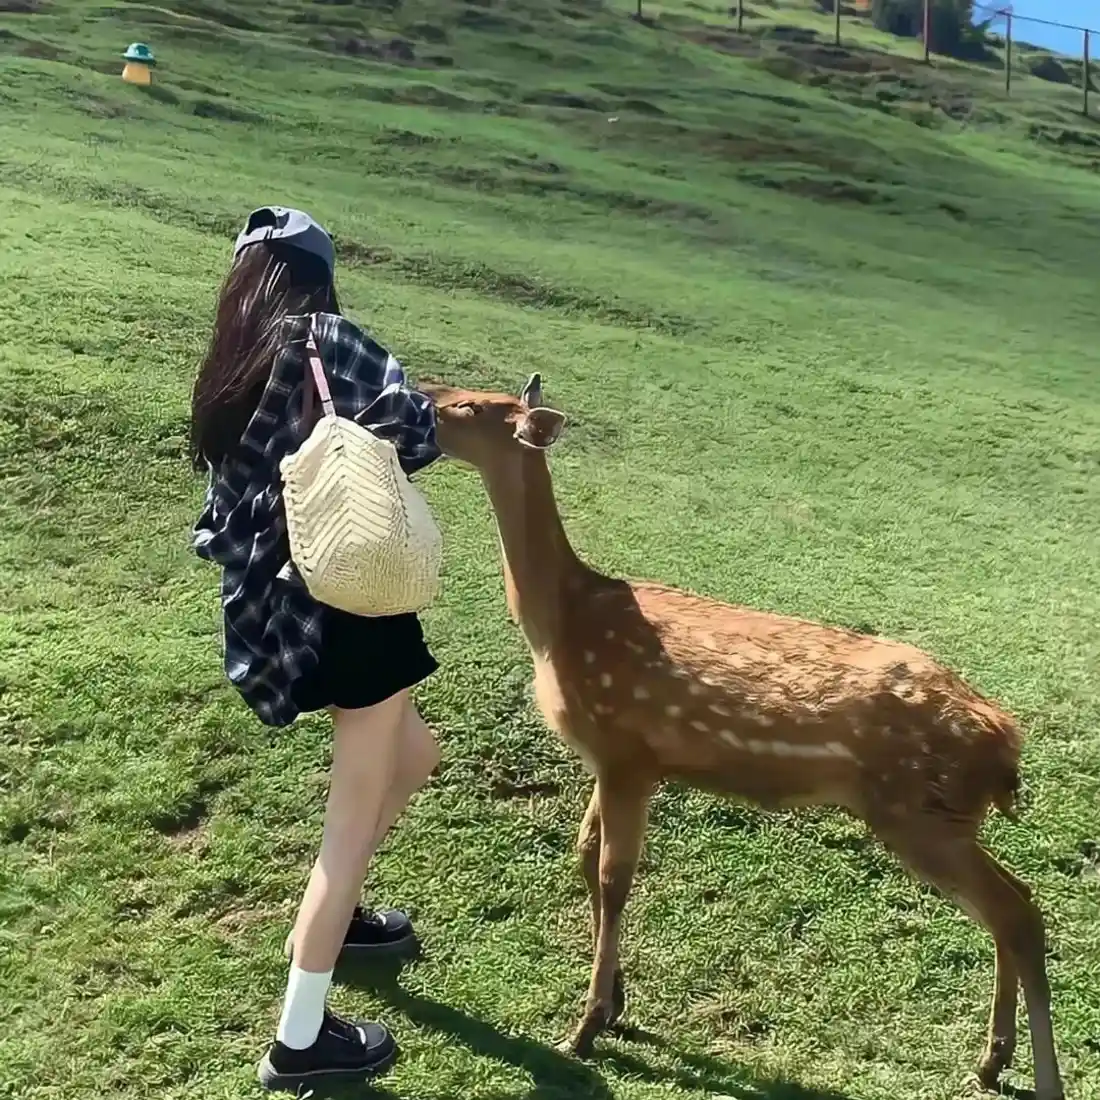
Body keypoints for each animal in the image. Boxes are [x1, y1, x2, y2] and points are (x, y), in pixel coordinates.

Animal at [418, 373, 1065, 1100]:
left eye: (471, 407)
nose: (419, 397)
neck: (559, 626)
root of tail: (1005, 742)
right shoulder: (613, 759)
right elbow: (585, 858)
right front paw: (615, 1004)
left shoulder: (626, 753)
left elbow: (614, 876)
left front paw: (585, 1028)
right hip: (937, 814)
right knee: (1012, 905)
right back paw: (992, 1060)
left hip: (916, 811)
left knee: (1015, 909)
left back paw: (1040, 1076)